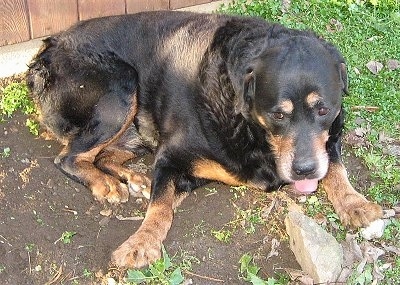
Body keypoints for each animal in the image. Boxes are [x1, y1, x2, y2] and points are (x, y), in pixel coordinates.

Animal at [26, 11, 382, 268]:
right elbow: (161, 206)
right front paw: (142, 242)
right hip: (121, 86)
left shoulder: (331, 133)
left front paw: (354, 202)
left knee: (105, 154)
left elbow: (335, 165)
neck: (250, 128)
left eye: (323, 109)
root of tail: (46, 51)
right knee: (70, 156)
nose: (305, 170)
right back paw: (105, 183)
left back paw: (135, 178)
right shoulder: (171, 157)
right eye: (278, 115)